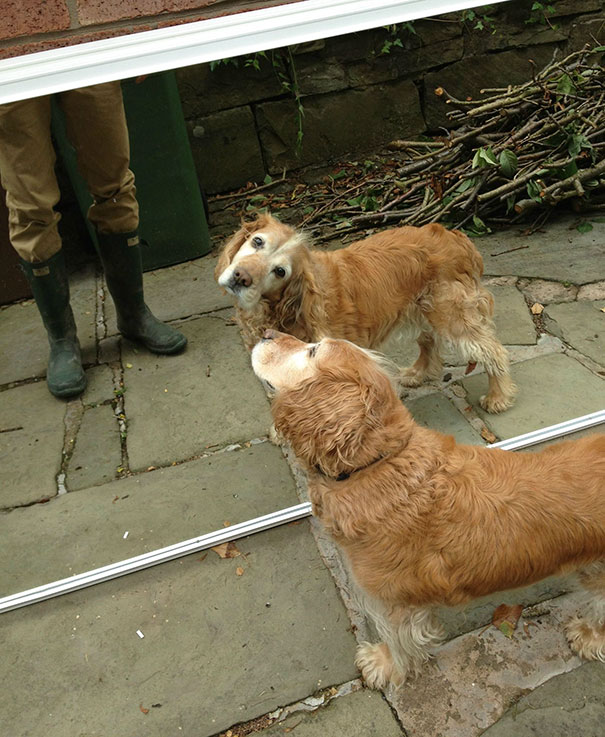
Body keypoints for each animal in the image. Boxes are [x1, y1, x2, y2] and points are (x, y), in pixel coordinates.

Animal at [217, 211, 516, 414]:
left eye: (280, 271)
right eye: (257, 242)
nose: (241, 277)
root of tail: (456, 237)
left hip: (452, 314)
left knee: (492, 351)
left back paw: (498, 397)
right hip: (423, 308)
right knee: (428, 341)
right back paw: (418, 373)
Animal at [251, 332, 605, 688]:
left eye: (312, 351)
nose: (266, 333)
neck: (378, 463)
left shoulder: (392, 601)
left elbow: (397, 640)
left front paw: (383, 664)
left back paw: (588, 637)